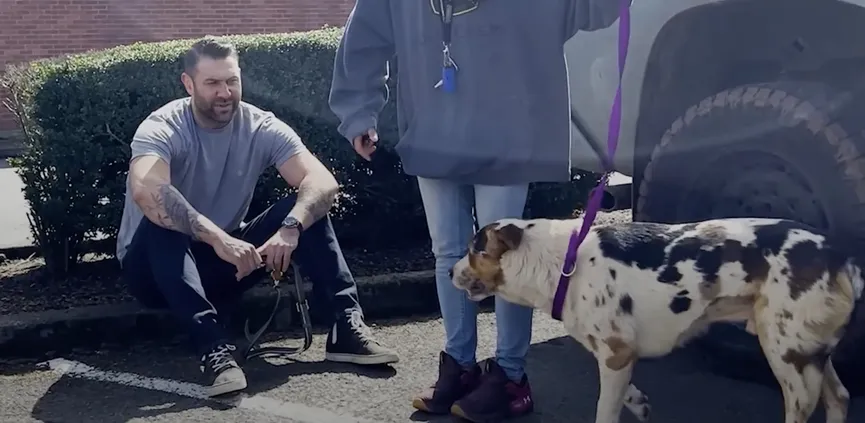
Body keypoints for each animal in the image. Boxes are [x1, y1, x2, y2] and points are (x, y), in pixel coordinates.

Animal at [448, 219, 860, 423]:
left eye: (472, 251)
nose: (449, 272)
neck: (563, 260)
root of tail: (841, 254)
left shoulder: (615, 355)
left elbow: (604, 411)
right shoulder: (618, 358)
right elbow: (627, 394)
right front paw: (639, 403)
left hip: (787, 357)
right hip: (807, 352)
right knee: (840, 398)